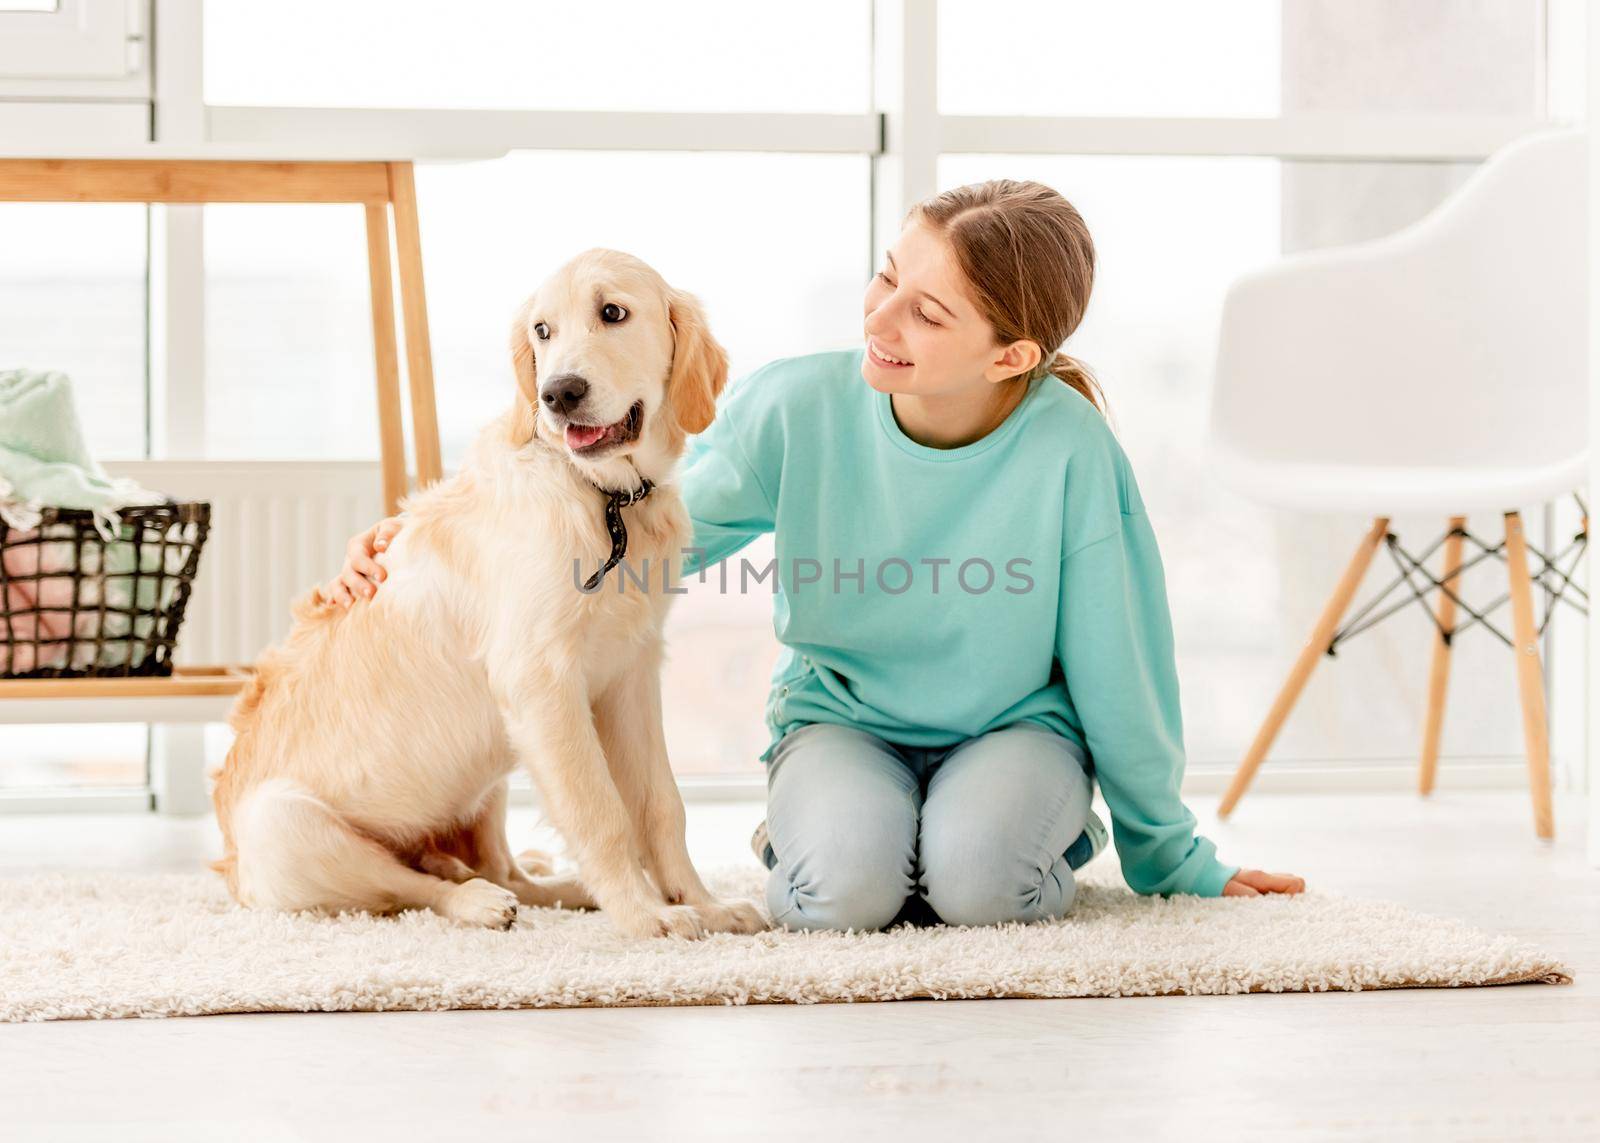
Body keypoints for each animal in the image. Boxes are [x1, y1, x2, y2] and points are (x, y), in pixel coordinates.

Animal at [209, 249, 771, 934]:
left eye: (613, 313)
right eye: (542, 331)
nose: (558, 393)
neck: (600, 495)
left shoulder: (632, 673)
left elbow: (663, 805)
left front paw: (704, 905)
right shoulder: (541, 680)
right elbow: (602, 811)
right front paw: (646, 915)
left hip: (490, 771)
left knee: (498, 869)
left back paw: (562, 887)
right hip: (286, 828)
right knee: (418, 886)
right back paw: (478, 902)